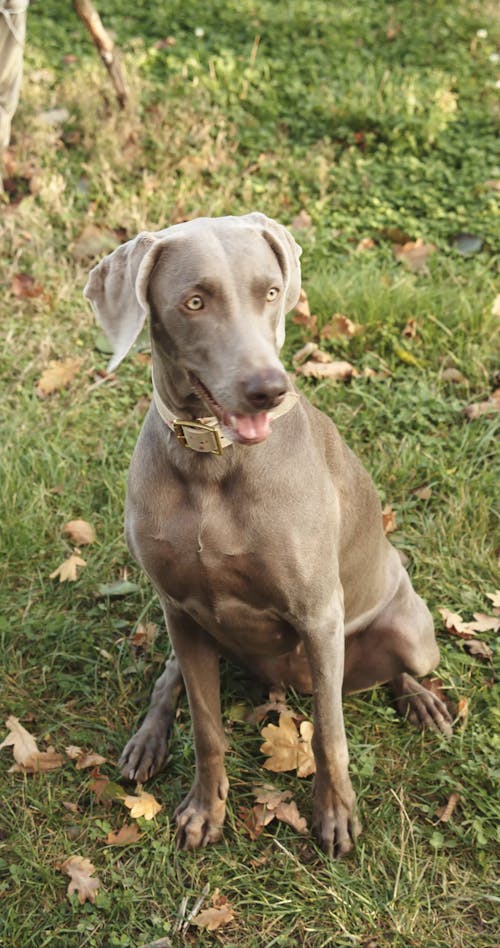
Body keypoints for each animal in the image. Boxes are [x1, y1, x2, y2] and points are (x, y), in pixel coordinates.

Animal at [84, 215, 452, 860]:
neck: (213, 461)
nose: (268, 388)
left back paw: (423, 701)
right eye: (195, 301)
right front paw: (205, 811)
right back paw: (148, 741)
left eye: (272, 292)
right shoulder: (180, 607)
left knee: (399, 666)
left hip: (409, 631)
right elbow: (206, 727)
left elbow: (329, 734)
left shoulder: (318, 614)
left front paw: (334, 817)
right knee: (168, 677)